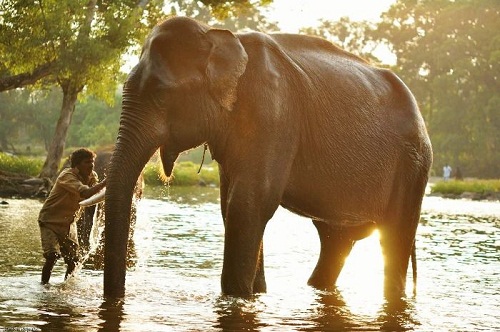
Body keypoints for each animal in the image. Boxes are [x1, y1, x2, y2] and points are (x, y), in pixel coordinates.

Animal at [102, 16, 434, 300]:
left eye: (160, 94)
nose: (119, 297)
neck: (217, 34)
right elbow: (230, 206)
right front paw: (257, 294)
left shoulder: (272, 114)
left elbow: (249, 203)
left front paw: (238, 296)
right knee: (336, 242)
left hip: (413, 164)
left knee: (394, 237)